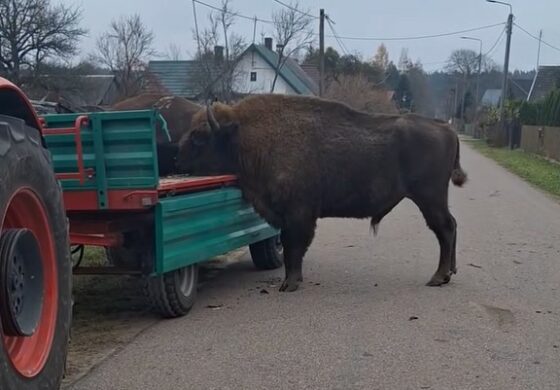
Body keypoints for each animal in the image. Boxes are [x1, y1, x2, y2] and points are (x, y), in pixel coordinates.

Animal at [177, 94, 466, 292]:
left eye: (199, 136)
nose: (176, 157)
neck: (246, 136)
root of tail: (447, 129)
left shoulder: (298, 214)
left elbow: (294, 247)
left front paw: (289, 284)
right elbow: (292, 247)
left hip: (429, 197)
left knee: (445, 228)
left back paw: (438, 277)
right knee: (451, 226)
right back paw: (450, 272)